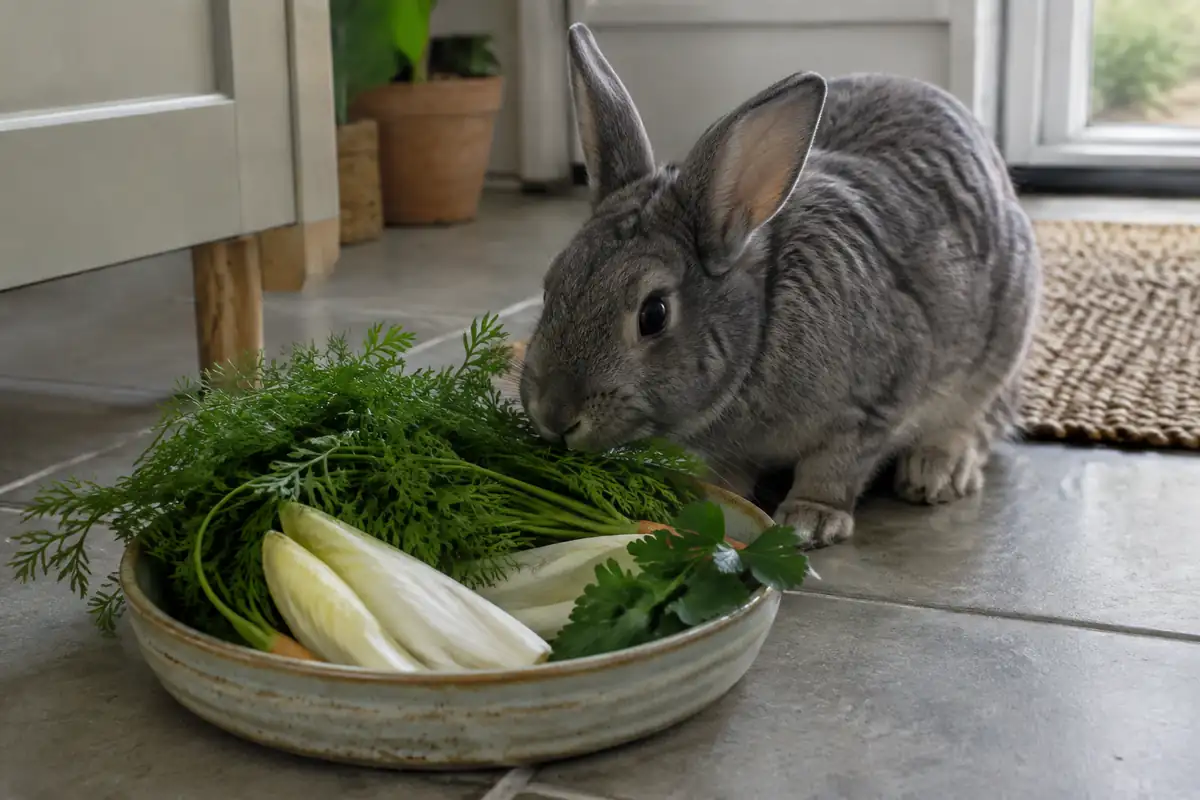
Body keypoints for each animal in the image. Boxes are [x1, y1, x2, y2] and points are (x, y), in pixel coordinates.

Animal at [518, 23, 1041, 548]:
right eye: (549, 287)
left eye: (654, 314)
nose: (553, 415)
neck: (762, 329)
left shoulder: (870, 407)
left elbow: (834, 468)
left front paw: (810, 520)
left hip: (997, 356)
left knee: (979, 424)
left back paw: (936, 471)